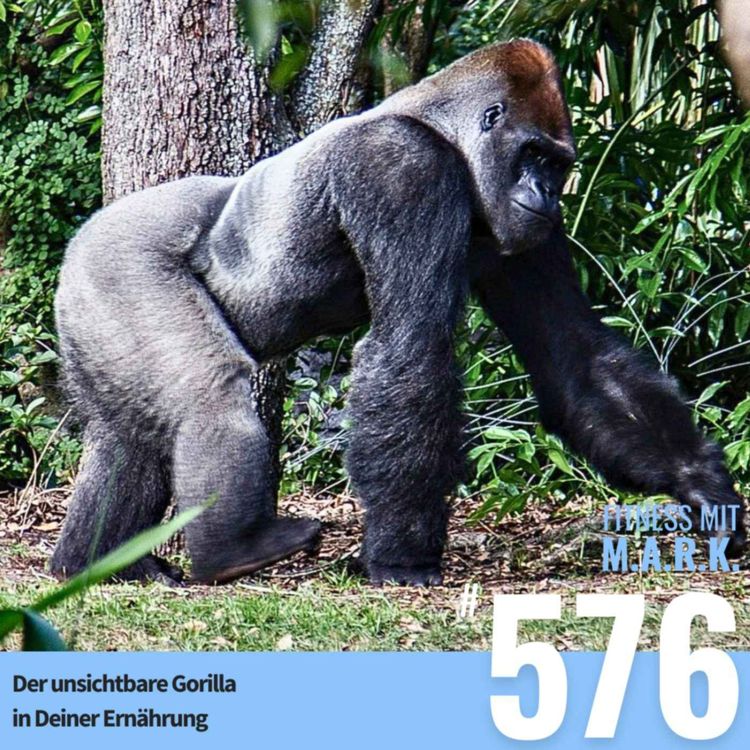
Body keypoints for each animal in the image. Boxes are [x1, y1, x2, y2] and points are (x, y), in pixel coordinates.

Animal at [50, 39, 746, 586]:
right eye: (534, 156)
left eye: (558, 165)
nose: (548, 195)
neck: (443, 129)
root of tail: (79, 241)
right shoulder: (403, 169)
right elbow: (411, 349)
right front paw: (400, 559)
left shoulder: (527, 231)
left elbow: (575, 357)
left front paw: (702, 486)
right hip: (118, 262)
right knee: (208, 391)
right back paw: (230, 550)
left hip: (92, 302)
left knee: (129, 433)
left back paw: (94, 561)